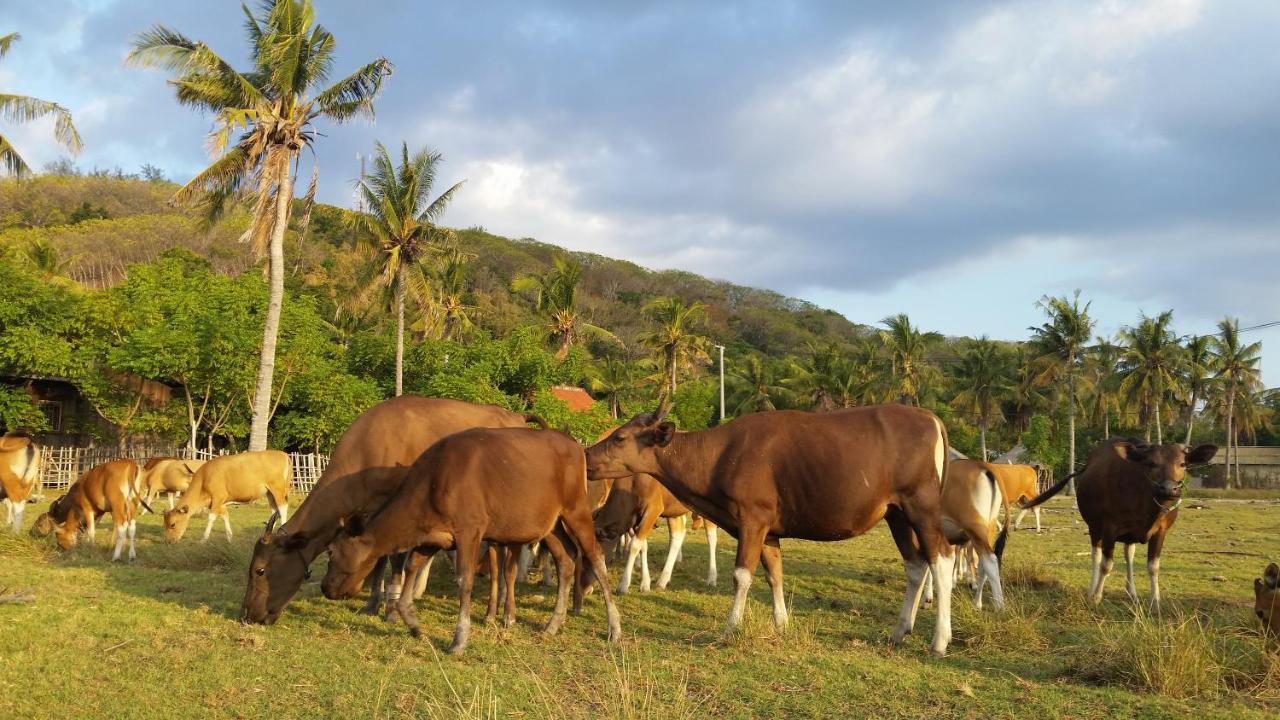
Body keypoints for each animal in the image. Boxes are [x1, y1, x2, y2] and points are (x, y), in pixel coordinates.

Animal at [162, 445, 290, 540]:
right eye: (165, 524)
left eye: (173, 524)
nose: (169, 541)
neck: (205, 478)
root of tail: (284, 455)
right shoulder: (221, 503)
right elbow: (225, 518)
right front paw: (230, 539)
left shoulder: (217, 498)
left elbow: (211, 518)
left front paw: (204, 539)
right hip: (269, 493)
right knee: (274, 511)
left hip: (278, 489)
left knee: (283, 508)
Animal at [240, 392, 545, 622]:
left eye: (260, 570)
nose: (247, 615)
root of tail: (517, 417)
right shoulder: (371, 512)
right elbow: (379, 558)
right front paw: (374, 602)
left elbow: (396, 556)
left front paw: (392, 606)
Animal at [320, 425, 619, 655]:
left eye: (331, 551)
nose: (325, 588)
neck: (432, 483)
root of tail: (575, 445)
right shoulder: (433, 537)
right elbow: (411, 567)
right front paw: (414, 625)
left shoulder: (470, 531)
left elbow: (464, 580)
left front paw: (459, 639)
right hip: (550, 524)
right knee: (566, 559)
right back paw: (553, 624)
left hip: (577, 510)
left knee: (595, 556)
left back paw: (613, 627)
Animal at [583, 471, 716, 589]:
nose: (586, 588)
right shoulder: (636, 518)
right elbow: (642, 545)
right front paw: (645, 582)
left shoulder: (653, 510)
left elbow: (634, 545)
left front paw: (624, 584)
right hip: (674, 510)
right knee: (677, 535)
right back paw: (664, 578)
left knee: (711, 538)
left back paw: (712, 577)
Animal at [1018, 435, 1218, 607]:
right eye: (1151, 463)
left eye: (1182, 464)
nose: (1169, 489)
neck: (1146, 502)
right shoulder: (1110, 528)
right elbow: (1106, 565)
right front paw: (1097, 596)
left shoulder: (1161, 531)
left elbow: (1153, 566)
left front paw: (1155, 601)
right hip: (1094, 527)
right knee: (1096, 556)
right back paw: (1092, 590)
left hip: (1128, 535)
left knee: (1129, 554)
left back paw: (1132, 592)